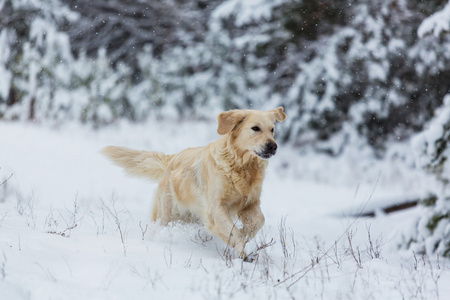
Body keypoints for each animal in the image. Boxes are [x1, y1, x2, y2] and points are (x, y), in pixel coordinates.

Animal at [101, 107, 284, 260]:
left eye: (272, 130)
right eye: (255, 128)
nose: (273, 146)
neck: (242, 166)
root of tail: (172, 158)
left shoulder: (250, 203)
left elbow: (259, 220)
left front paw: (244, 234)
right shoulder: (216, 207)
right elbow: (232, 231)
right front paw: (241, 250)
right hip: (166, 214)